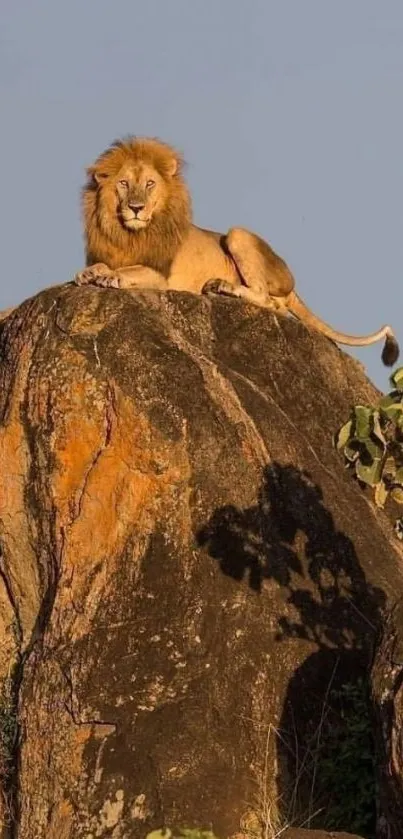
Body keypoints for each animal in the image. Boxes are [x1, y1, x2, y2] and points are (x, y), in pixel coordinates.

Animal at [76, 138, 400, 368]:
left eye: (150, 184)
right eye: (123, 183)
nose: (136, 208)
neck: (129, 234)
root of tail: (291, 283)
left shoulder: (160, 275)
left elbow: (129, 271)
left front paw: (111, 278)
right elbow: (102, 266)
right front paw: (89, 274)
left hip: (237, 234)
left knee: (266, 299)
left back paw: (222, 286)